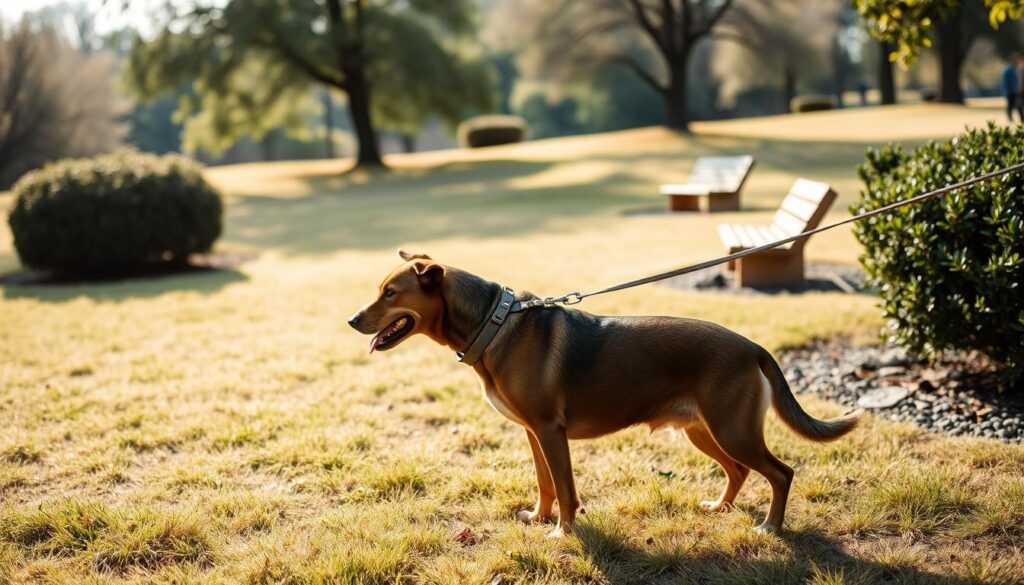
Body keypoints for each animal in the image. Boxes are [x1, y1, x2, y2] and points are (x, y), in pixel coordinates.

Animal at [348, 249, 860, 536]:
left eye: (391, 293)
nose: (352, 320)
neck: (495, 324)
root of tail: (752, 346)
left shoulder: (551, 432)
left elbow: (566, 489)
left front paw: (563, 533)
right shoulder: (534, 433)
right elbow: (545, 484)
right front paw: (540, 519)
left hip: (733, 430)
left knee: (780, 473)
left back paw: (771, 527)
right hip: (705, 430)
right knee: (738, 471)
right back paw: (720, 507)